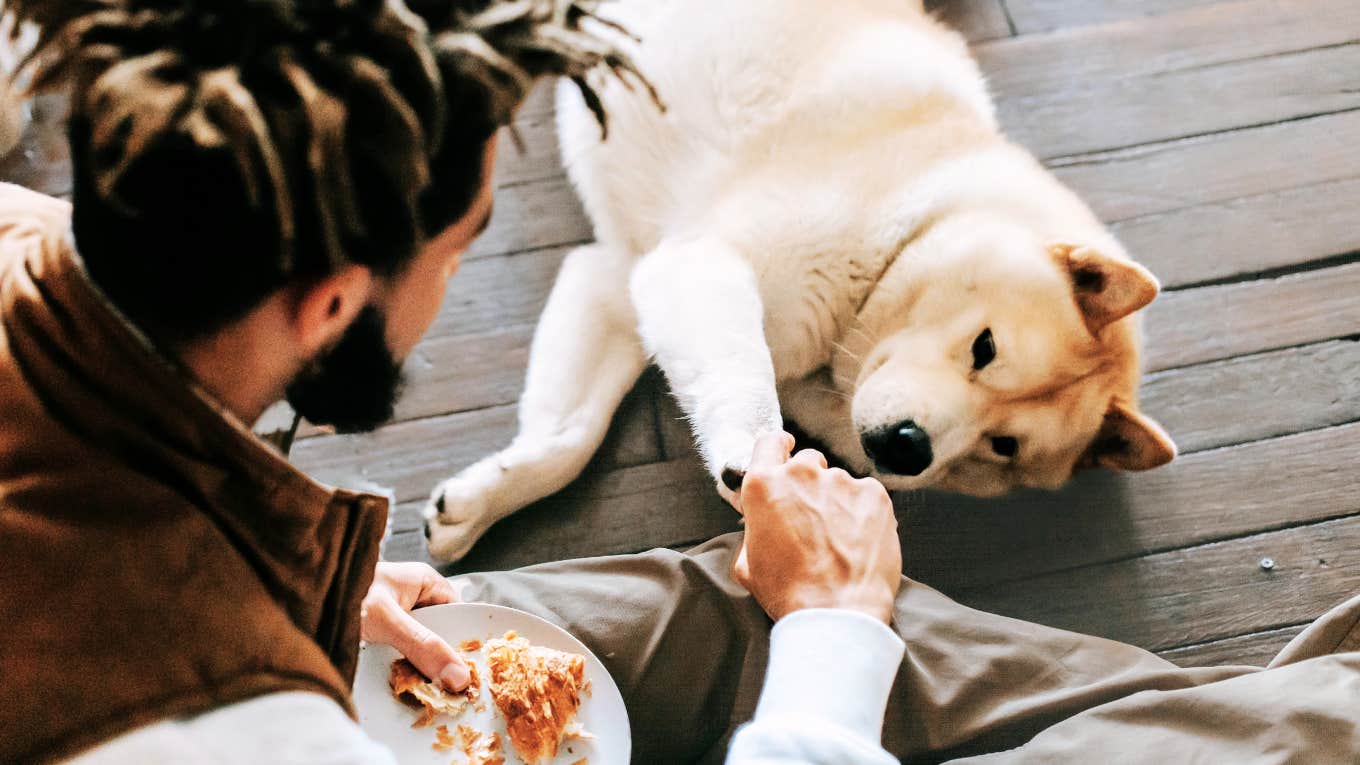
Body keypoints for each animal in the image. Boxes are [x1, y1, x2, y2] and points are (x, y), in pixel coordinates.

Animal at [421, 0, 1169, 560]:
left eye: (1003, 447)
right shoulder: (698, 264)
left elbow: (568, 436)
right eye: (984, 348)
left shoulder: (620, 275)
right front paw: (752, 457)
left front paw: (481, 500)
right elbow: (742, 378)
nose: (910, 448)